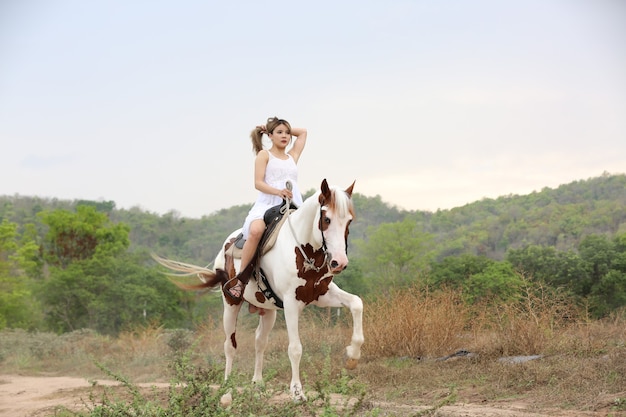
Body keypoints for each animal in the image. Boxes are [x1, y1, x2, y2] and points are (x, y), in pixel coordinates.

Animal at [153, 179, 364, 400]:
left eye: (349, 221)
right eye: (326, 219)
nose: (339, 262)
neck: (304, 250)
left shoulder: (321, 295)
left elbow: (357, 303)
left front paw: (352, 356)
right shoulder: (291, 304)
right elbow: (295, 348)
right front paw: (297, 392)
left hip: (269, 311)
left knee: (259, 342)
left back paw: (257, 384)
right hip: (231, 304)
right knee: (230, 345)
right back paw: (227, 390)